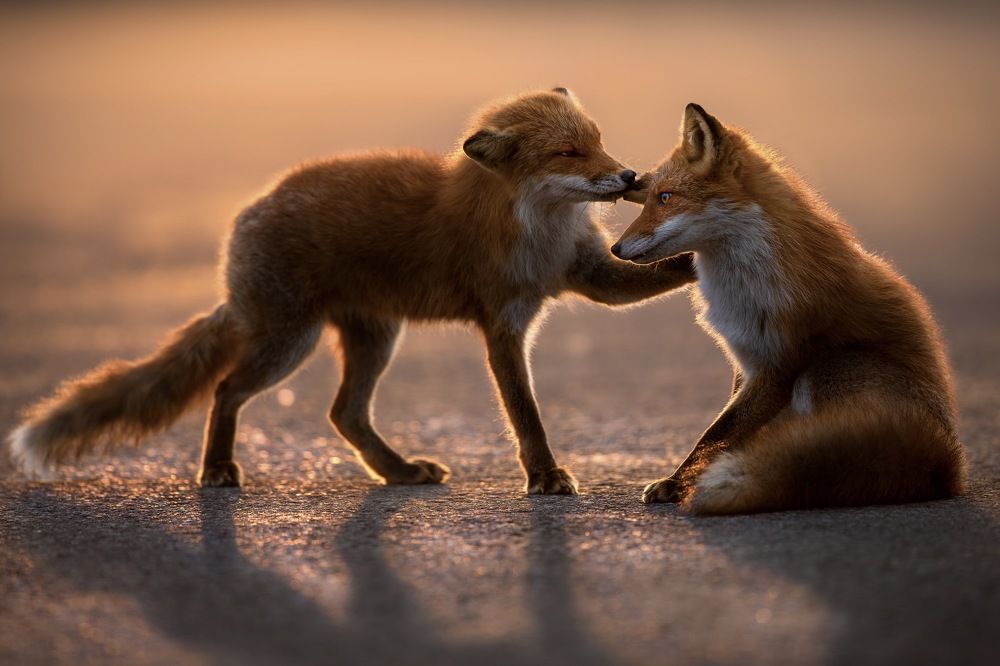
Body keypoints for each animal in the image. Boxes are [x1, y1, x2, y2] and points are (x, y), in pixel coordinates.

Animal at [8, 88, 696, 494]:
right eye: (569, 152)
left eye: (598, 142)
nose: (629, 176)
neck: (540, 229)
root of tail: (248, 214)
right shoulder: (504, 325)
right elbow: (524, 414)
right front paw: (544, 475)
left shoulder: (592, 278)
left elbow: (661, 274)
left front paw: (705, 255)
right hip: (290, 343)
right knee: (228, 390)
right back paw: (217, 468)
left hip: (374, 338)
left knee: (345, 413)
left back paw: (398, 471)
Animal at [612, 103, 967, 514]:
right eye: (651, 197)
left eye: (666, 197)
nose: (614, 249)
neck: (745, 278)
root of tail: (949, 462)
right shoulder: (746, 361)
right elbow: (728, 429)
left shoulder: (779, 364)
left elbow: (716, 434)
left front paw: (678, 483)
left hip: (831, 369)